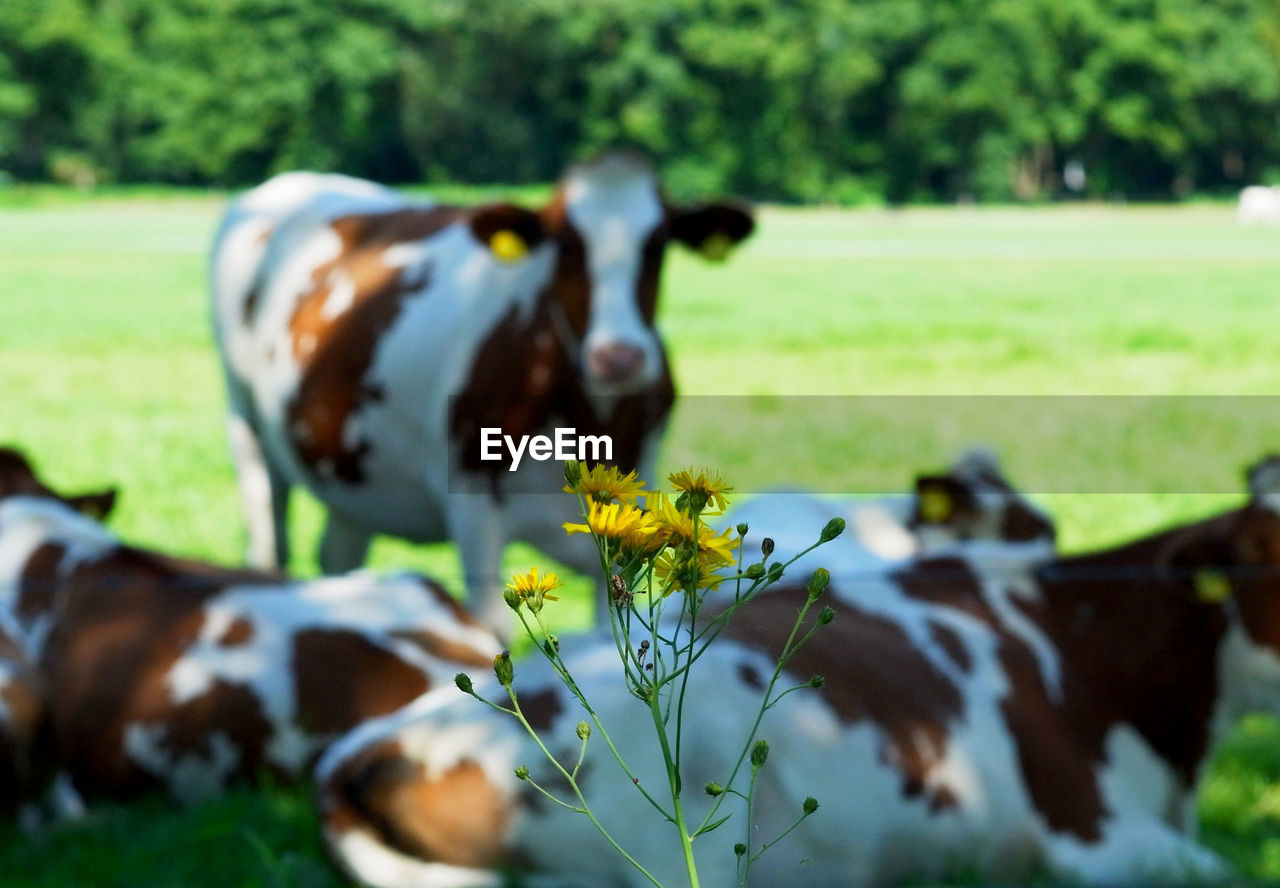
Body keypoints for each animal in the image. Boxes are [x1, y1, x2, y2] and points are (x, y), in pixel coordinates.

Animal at [208, 151, 747, 632]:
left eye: (658, 245)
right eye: (566, 246)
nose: (619, 357)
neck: (589, 420)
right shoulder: (474, 507)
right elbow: (492, 626)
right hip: (245, 426)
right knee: (269, 543)